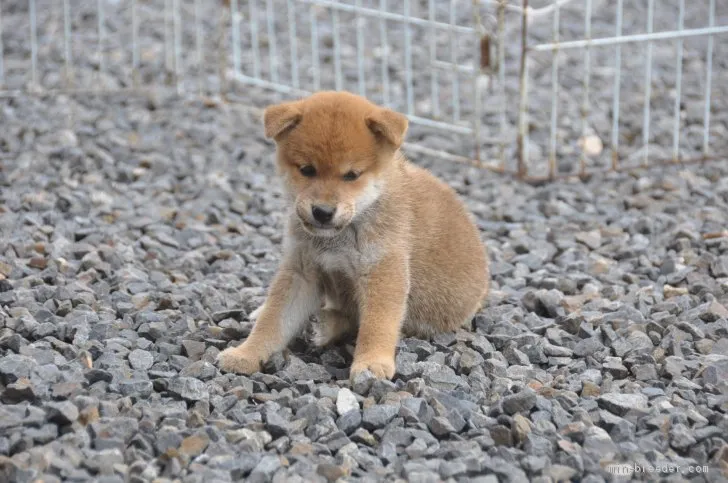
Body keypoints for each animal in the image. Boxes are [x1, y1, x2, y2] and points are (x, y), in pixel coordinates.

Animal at [216, 90, 490, 378]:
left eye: (351, 175)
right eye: (307, 170)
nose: (322, 212)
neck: (340, 237)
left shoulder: (383, 272)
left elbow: (376, 325)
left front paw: (371, 363)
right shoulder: (301, 271)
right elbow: (273, 321)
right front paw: (246, 354)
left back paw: (325, 326)